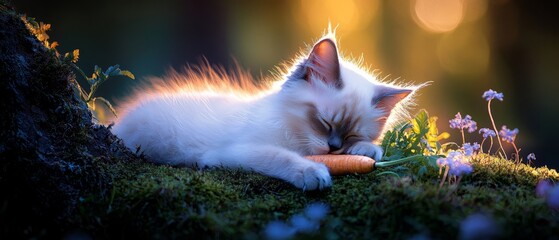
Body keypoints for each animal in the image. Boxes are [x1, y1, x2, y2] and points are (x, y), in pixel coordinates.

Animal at [112, 35, 420, 190]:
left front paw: (365, 151)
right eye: (322, 123)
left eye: (351, 135)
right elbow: (279, 157)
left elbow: (371, 150)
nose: (333, 149)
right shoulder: (236, 152)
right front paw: (313, 173)